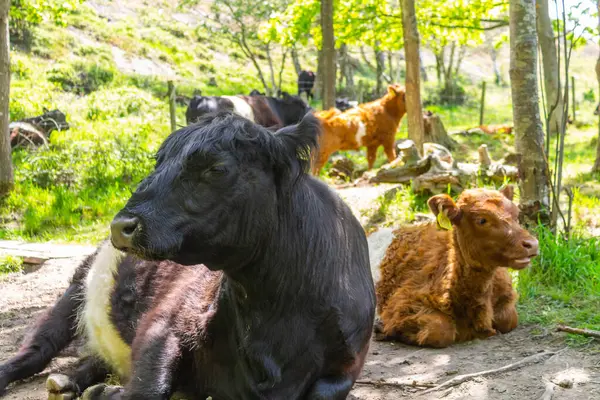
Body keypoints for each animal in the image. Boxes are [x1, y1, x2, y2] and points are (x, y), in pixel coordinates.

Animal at [0, 111, 376, 400]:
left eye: (215, 168)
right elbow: (149, 387)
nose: (121, 225)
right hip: (74, 290)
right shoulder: (165, 322)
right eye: (159, 161)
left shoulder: (346, 365)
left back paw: (72, 382)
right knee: (36, 349)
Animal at [376, 187, 540, 346]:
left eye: (516, 215)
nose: (532, 244)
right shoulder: (403, 303)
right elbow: (440, 330)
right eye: (482, 220)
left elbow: (509, 319)